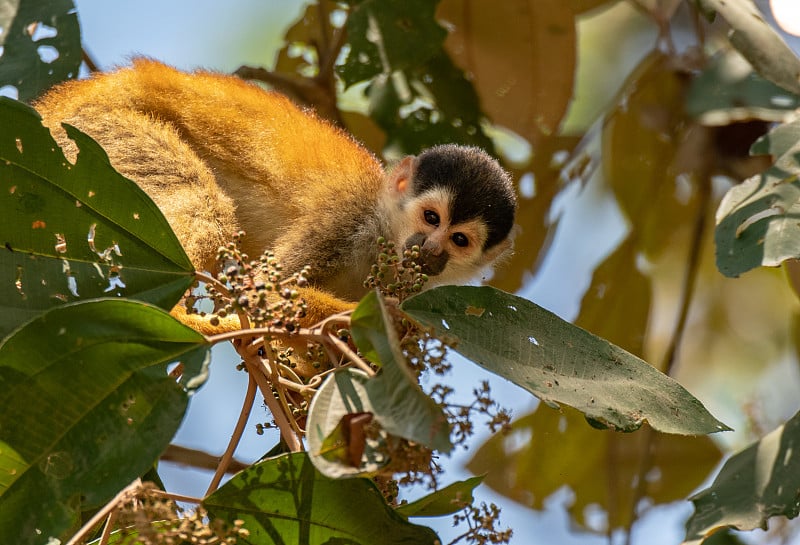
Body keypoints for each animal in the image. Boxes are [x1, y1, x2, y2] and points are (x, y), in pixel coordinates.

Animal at [34, 59, 516, 332]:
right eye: (431, 218)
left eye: (459, 240)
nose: (430, 250)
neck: (383, 235)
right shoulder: (342, 217)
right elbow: (264, 292)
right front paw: (384, 323)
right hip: (98, 132)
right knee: (200, 201)